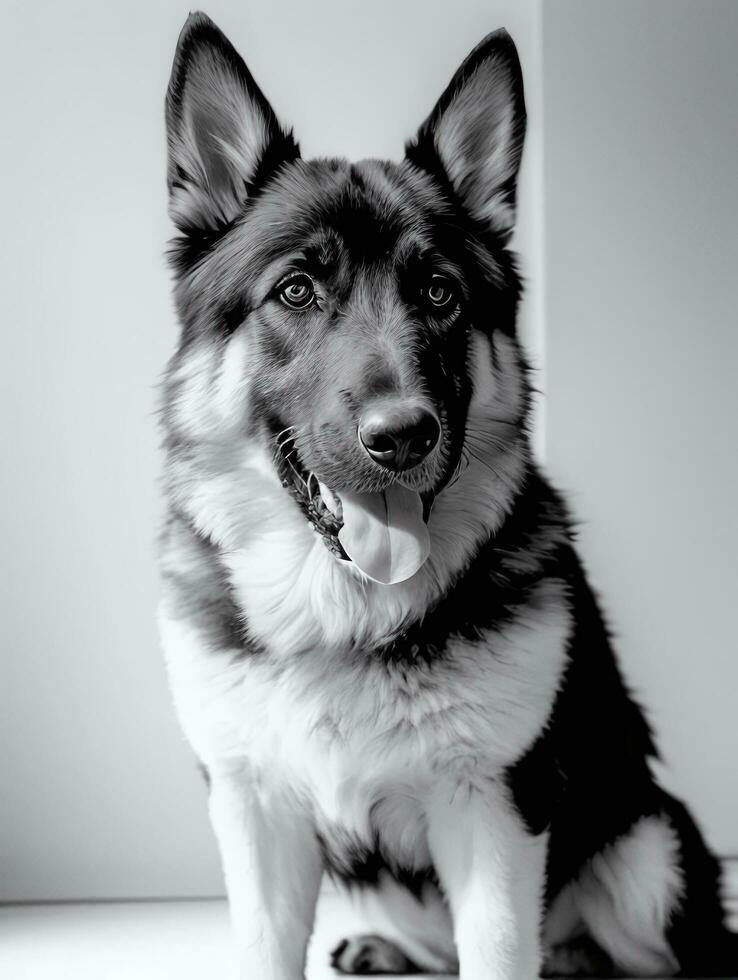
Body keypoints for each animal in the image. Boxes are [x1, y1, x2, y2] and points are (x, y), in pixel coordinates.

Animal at [158, 15, 732, 980]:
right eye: (296, 290)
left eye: (439, 293)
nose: (402, 437)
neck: (343, 613)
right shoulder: (256, 814)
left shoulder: (494, 813)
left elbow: (496, 952)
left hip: (647, 853)